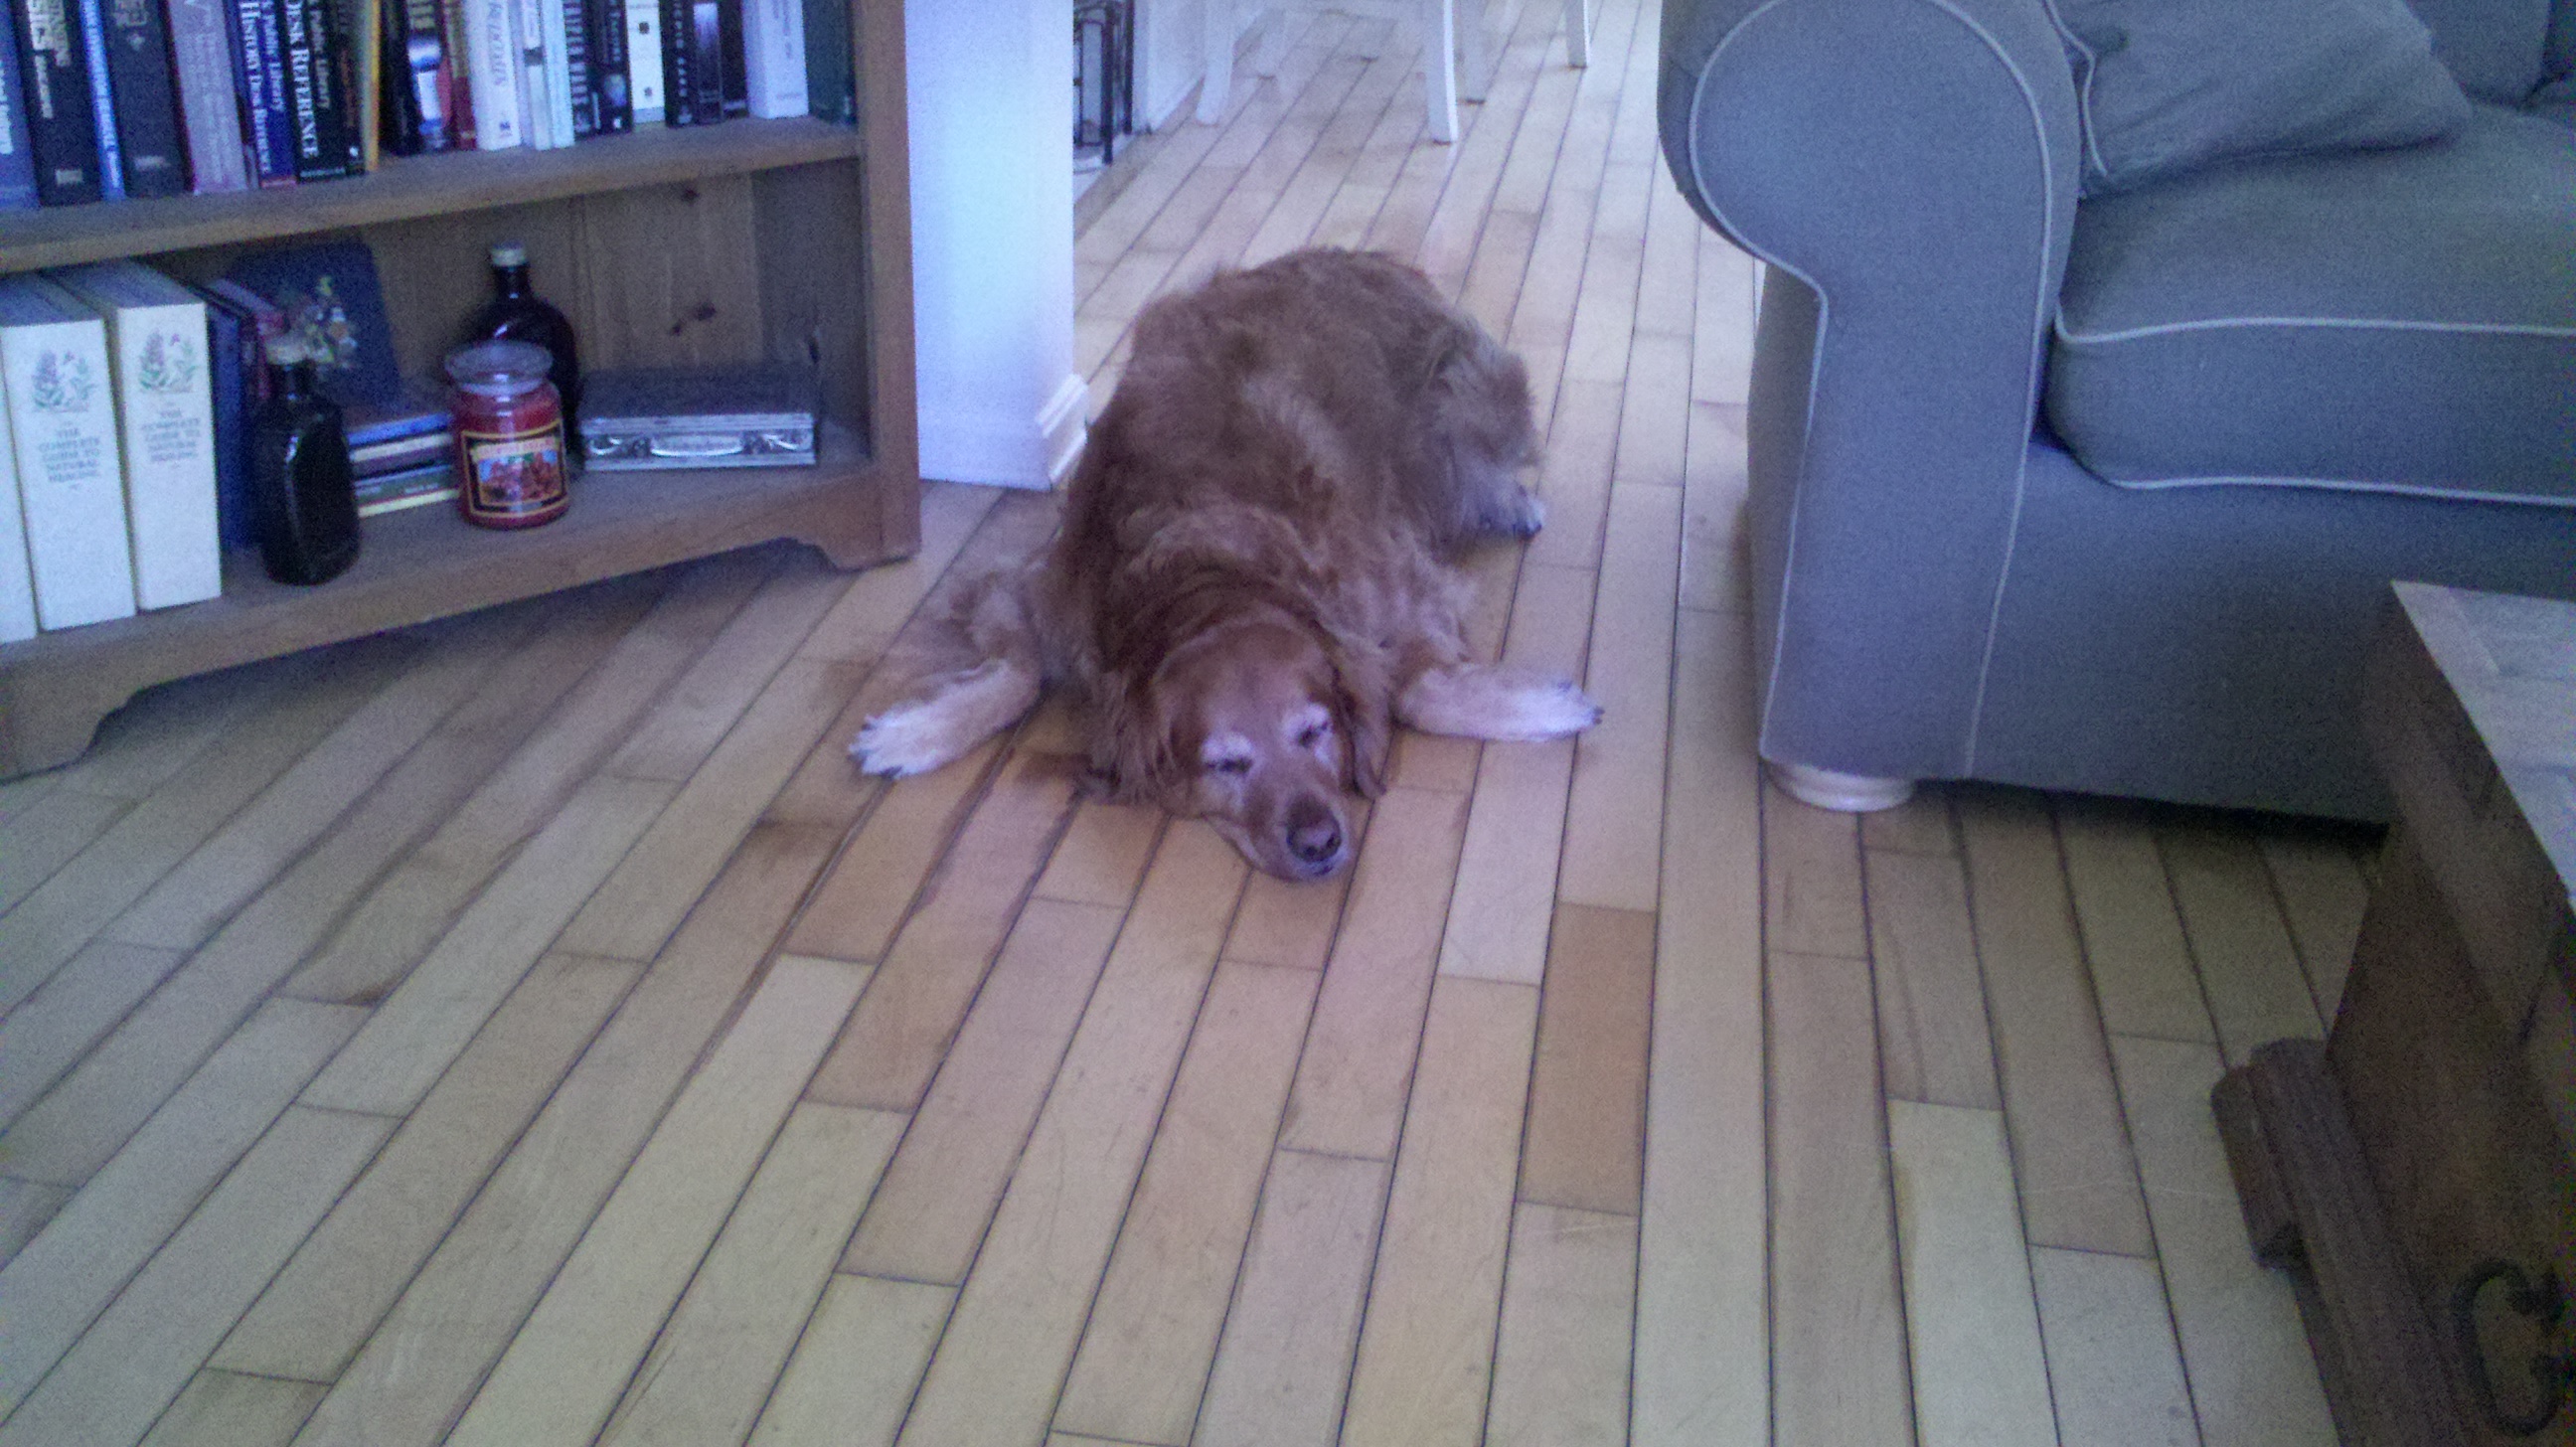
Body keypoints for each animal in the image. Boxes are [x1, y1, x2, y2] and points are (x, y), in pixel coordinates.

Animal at [852, 248, 1601, 880]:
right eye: (1226, 765)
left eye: (1315, 731)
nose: (1319, 841)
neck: (1203, 562)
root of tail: (1375, 256)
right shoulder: (1036, 589)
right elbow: (1016, 673)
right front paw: (916, 732)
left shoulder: (1404, 589)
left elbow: (1417, 690)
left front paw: (1546, 707)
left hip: (1469, 397)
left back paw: (1511, 500)